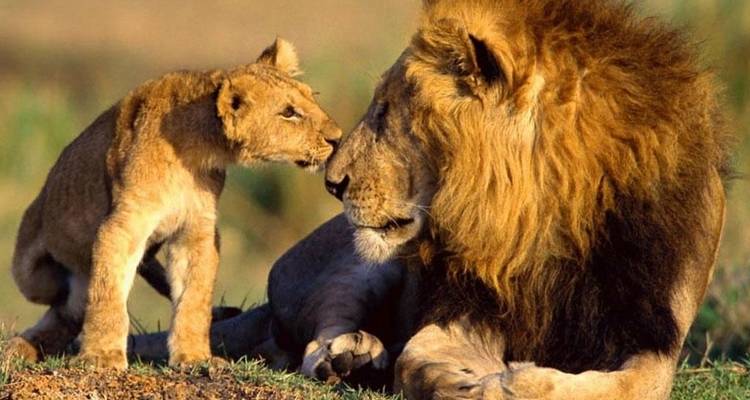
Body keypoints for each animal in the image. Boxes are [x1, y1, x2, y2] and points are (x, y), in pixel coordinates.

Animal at [5, 38, 342, 370]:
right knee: (63, 303)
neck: (196, 149)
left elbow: (194, 298)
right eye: (289, 113)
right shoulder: (123, 225)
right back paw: (20, 347)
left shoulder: (196, 230)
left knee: (70, 311)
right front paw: (102, 355)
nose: (338, 138)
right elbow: (107, 294)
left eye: (313, 98)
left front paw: (194, 357)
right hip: (32, 273)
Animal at [131, 1, 732, 398]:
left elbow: (630, 384)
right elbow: (418, 359)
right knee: (313, 336)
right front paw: (464, 381)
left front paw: (510, 382)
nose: (332, 183)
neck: (546, 221)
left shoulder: (654, 337)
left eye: (386, 112)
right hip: (357, 261)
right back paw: (352, 357)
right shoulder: (462, 309)